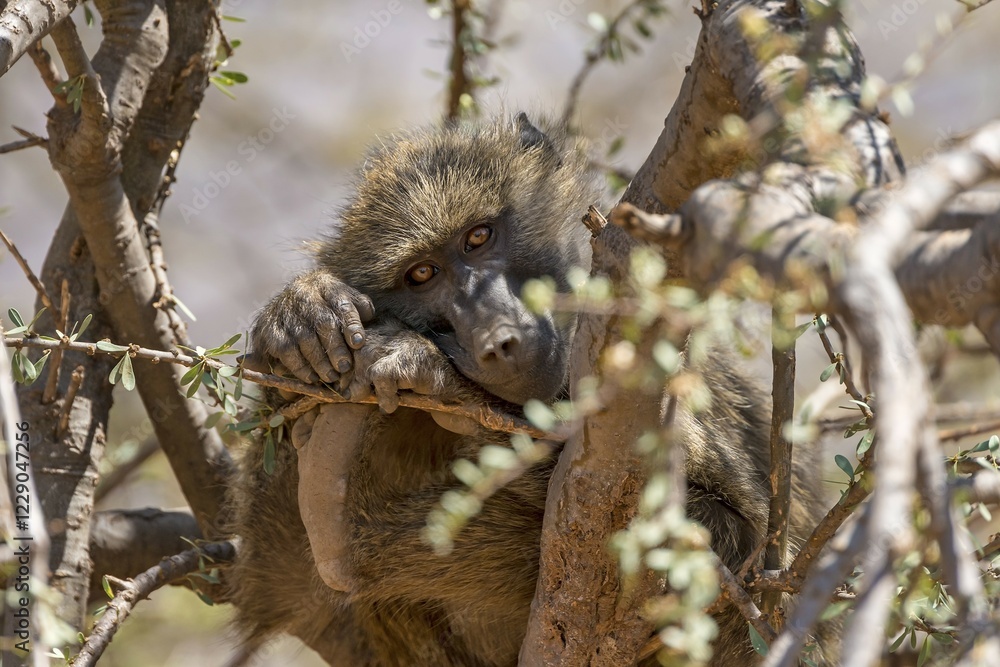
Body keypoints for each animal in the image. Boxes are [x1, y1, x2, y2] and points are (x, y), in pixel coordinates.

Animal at [228, 113, 837, 666]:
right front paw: (303, 314)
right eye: (421, 275)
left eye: (478, 237)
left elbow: (740, 521)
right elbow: (286, 591)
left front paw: (433, 378)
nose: (497, 339)